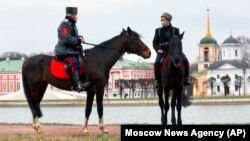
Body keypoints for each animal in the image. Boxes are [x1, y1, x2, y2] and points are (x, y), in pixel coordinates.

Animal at [22, 26, 150, 133]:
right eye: (135, 39)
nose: (148, 52)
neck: (99, 60)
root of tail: (26, 61)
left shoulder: (100, 89)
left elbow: (100, 108)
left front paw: (103, 128)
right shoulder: (91, 89)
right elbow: (88, 109)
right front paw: (84, 128)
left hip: (42, 87)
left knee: (35, 104)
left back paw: (36, 127)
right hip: (35, 87)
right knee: (34, 103)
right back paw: (38, 127)